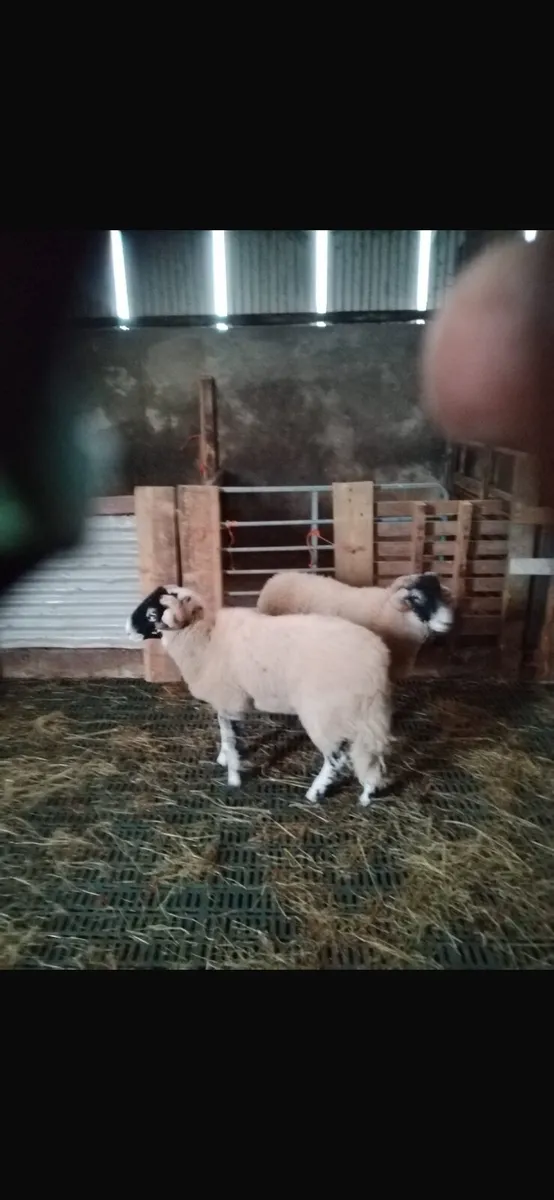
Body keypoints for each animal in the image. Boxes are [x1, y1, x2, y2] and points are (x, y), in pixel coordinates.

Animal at [127, 585, 392, 807]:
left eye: (151, 613)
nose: (127, 629)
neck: (206, 638)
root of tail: (376, 661)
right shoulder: (230, 702)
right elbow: (228, 733)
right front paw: (226, 758)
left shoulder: (228, 698)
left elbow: (230, 737)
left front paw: (233, 778)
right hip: (361, 713)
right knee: (369, 753)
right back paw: (368, 793)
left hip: (324, 713)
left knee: (337, 758)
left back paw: (315, 793)